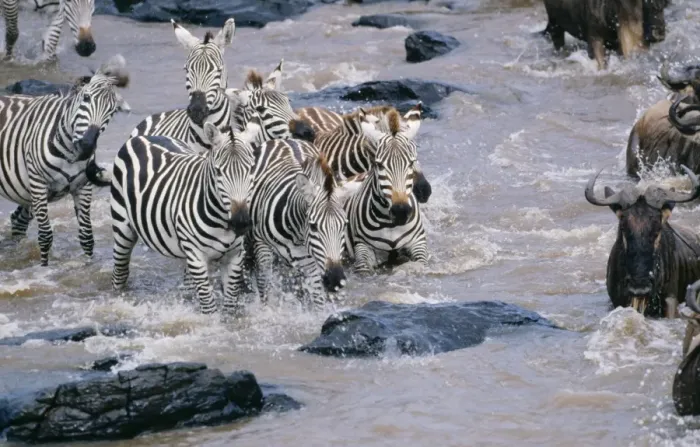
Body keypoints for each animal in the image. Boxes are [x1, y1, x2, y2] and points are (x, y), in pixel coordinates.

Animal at [0, 54, 130, 266]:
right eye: (86, 98)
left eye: (112, 112)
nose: (86, 146)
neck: (69, 154)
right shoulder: (38, 184)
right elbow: (45, 236)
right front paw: (44, 267)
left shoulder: (83, 187)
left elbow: (87, 236)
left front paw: (88, 265)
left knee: (17, 220)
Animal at [110, 121, 260, 314]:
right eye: (218, 172)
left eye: (251, 169)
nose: (240, 221)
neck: (222, 222)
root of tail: (144, 137)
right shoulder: (197, 257)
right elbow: (209, 308)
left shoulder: (234, 256)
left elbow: (229, 308)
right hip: (122, 227)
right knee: (120, 273)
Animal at [249, 142, 347, 308]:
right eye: (313, 226)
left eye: (344, 226)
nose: (335, 280)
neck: (295, 233)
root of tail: (285, 140)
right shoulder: (260, 244)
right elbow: (264, 284)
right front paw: (265, 309)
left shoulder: (310, 261)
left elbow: (318, 300)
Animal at [343, 108, 428, 273]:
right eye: (379, 165)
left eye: (411, 162)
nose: (401, 210)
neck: (391, 225)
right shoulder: (362, 246)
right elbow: (364, 270)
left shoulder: (418, 242)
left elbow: (421, 263)